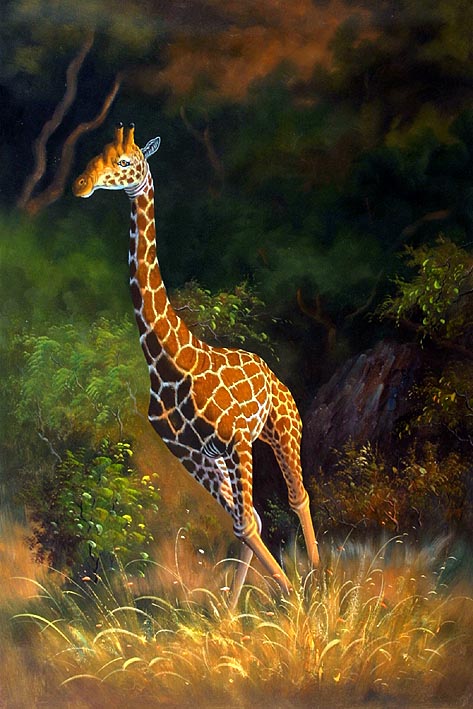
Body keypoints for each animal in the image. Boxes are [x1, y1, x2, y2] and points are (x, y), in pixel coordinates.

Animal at [73, 123, 319, 606]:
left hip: (282, 426)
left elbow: (249, 522)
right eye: (96, 154)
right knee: (257, 517)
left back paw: (322, 580)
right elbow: (245, 524)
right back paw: (238, 608)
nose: (80, 185)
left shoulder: (237, 440)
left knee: (298, 497)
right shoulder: (188, 451)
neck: (168, 359)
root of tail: (271, 373)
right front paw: (245, 612)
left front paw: (293, 599)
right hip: (221, 455)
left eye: (125, 162)